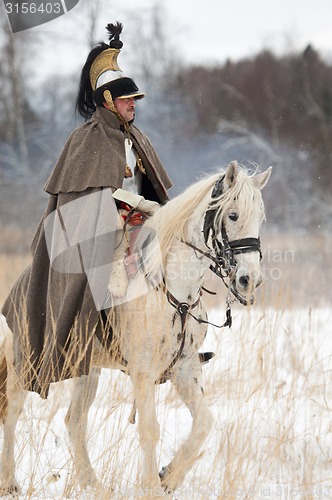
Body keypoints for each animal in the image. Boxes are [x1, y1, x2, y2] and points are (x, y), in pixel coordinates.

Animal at [0, 161, 272, 496]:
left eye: (260, 218)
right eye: (232, 215)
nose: (249, 280)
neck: (173, 289)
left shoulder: (185, 368)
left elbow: (204, 423)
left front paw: (168, 477)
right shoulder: (143, 373)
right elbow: (149, 429)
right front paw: (152, 487)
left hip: (87, 370)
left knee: (74, 421)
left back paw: (93, 484)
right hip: (22, 361)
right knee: (13, 413)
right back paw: (10, 482)